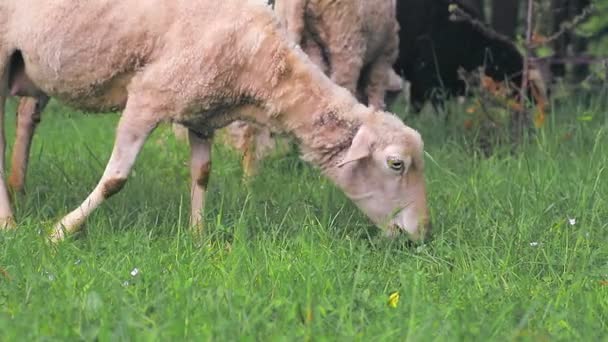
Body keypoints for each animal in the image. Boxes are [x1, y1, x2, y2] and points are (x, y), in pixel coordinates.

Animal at [0, 0, 430, 240]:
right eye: (396, 164)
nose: (422, 234)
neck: (260, 64)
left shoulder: (201, 112)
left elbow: (202, 174)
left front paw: (198, 237)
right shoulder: (149, 94)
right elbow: (115, 180)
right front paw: (60, 231)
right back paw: (9, 223)